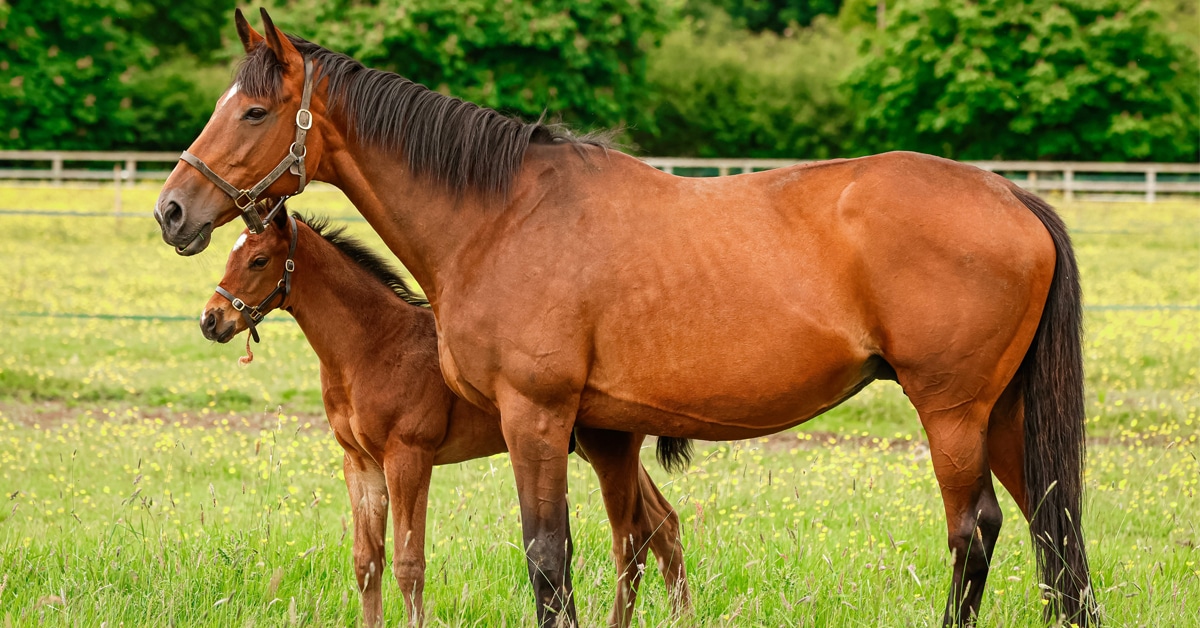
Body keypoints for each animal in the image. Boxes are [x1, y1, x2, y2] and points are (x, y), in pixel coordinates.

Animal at [199, 208, 690, 627]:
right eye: (229, 255)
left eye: (259, 260)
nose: (211, 320)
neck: (374, 346)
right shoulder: (359, 463)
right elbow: (366, 563)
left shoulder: (408, 458)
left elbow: (408, 565)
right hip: (591, 448)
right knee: (664, 523)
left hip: (607, 446)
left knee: (636, 536)